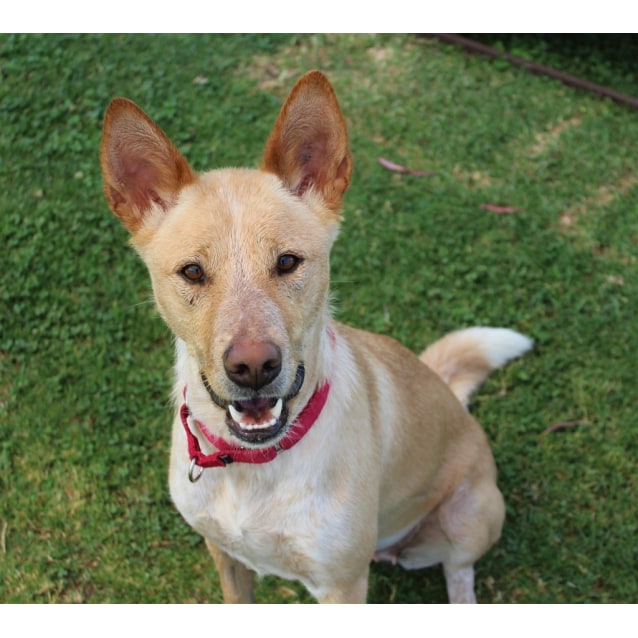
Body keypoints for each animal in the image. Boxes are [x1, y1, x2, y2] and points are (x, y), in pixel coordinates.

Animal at [101, 70, 536, 604]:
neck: (255, 465)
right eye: (193, 272)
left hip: (469, 516)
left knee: (460, 574)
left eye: (288, 262)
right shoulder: (225, 556)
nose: (253, 367)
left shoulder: (342, 585)